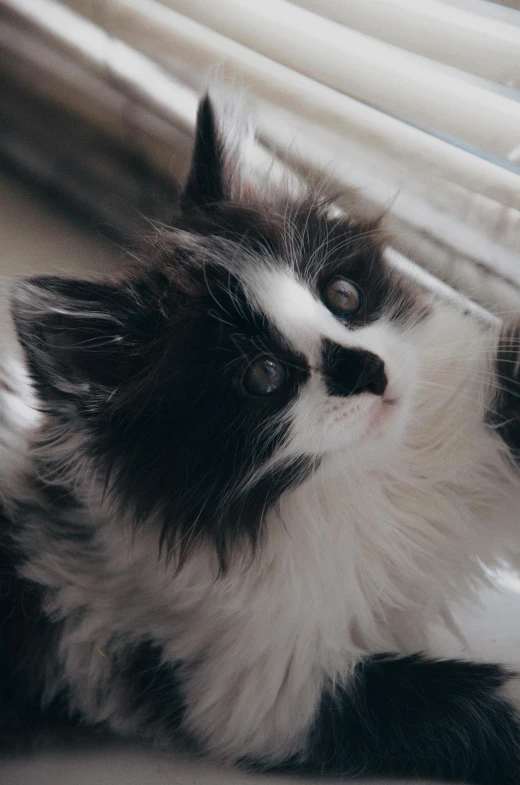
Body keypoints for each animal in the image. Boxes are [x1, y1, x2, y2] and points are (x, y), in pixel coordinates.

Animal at [3, 95, 520, 780]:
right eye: (264, 376)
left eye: (343, 295)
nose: (370, 371)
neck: (358, 481)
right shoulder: (262, 688)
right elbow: (465, 703)